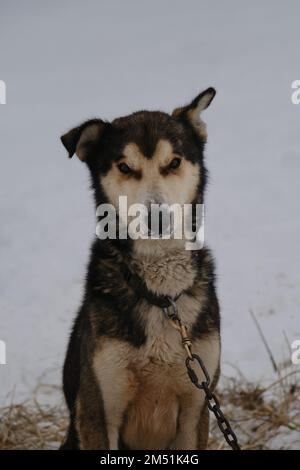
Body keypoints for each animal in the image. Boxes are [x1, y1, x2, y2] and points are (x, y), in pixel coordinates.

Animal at [59, 86, 221, 450]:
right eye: (124, 166)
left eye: (173, 162)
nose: (157, 217)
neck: (160, 292)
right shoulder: (97, 409)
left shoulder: (196, 406)